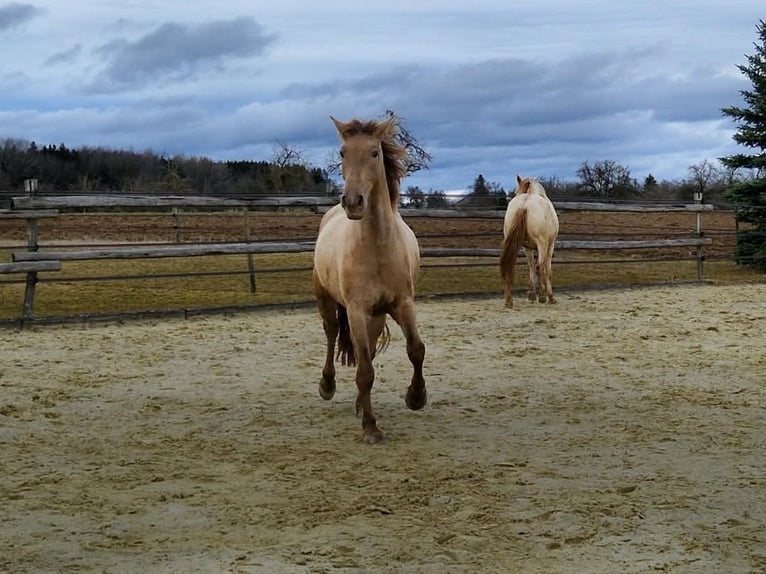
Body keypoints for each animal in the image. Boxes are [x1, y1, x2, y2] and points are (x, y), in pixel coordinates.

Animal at [312, 116, 427, 443]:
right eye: (342, 153)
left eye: (375, 153)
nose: (353, 202)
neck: (378, 246)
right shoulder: (357, 311)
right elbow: (364, 370)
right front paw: (371, 427)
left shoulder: (403, 304)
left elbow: (416, 350)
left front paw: (416, 397)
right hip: (327, 300)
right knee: (332, 334)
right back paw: (328, 386)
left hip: (377, 315)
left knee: (372, 349)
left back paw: (359, 404)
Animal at [500, 175, 560, 308]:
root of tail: (525, 204)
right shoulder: (550, 246)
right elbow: (547, 270)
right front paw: (550, 297)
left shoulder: (527, 248)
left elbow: (530, 267)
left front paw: (530, 294)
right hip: (542, 244)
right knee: (539, 266)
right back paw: (543, 297)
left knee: (510, 264)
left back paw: (508, 300)